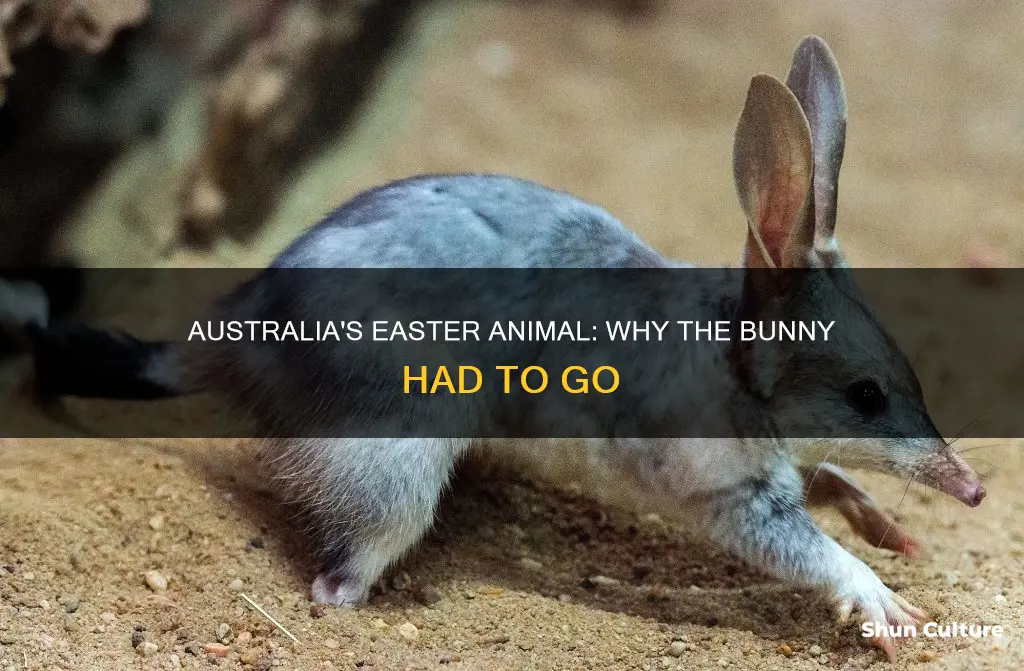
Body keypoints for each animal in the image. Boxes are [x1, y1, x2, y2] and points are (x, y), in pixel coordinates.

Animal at [4, 36, 984, 663]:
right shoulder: (723, 493)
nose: (974, 491)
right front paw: (886, 603)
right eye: (865, 394)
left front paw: (891, 526)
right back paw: (349, 600)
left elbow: (831, 479)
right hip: (393, 461)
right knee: (342, 565)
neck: (734, 364)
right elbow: (809, 548)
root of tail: (238, 336)